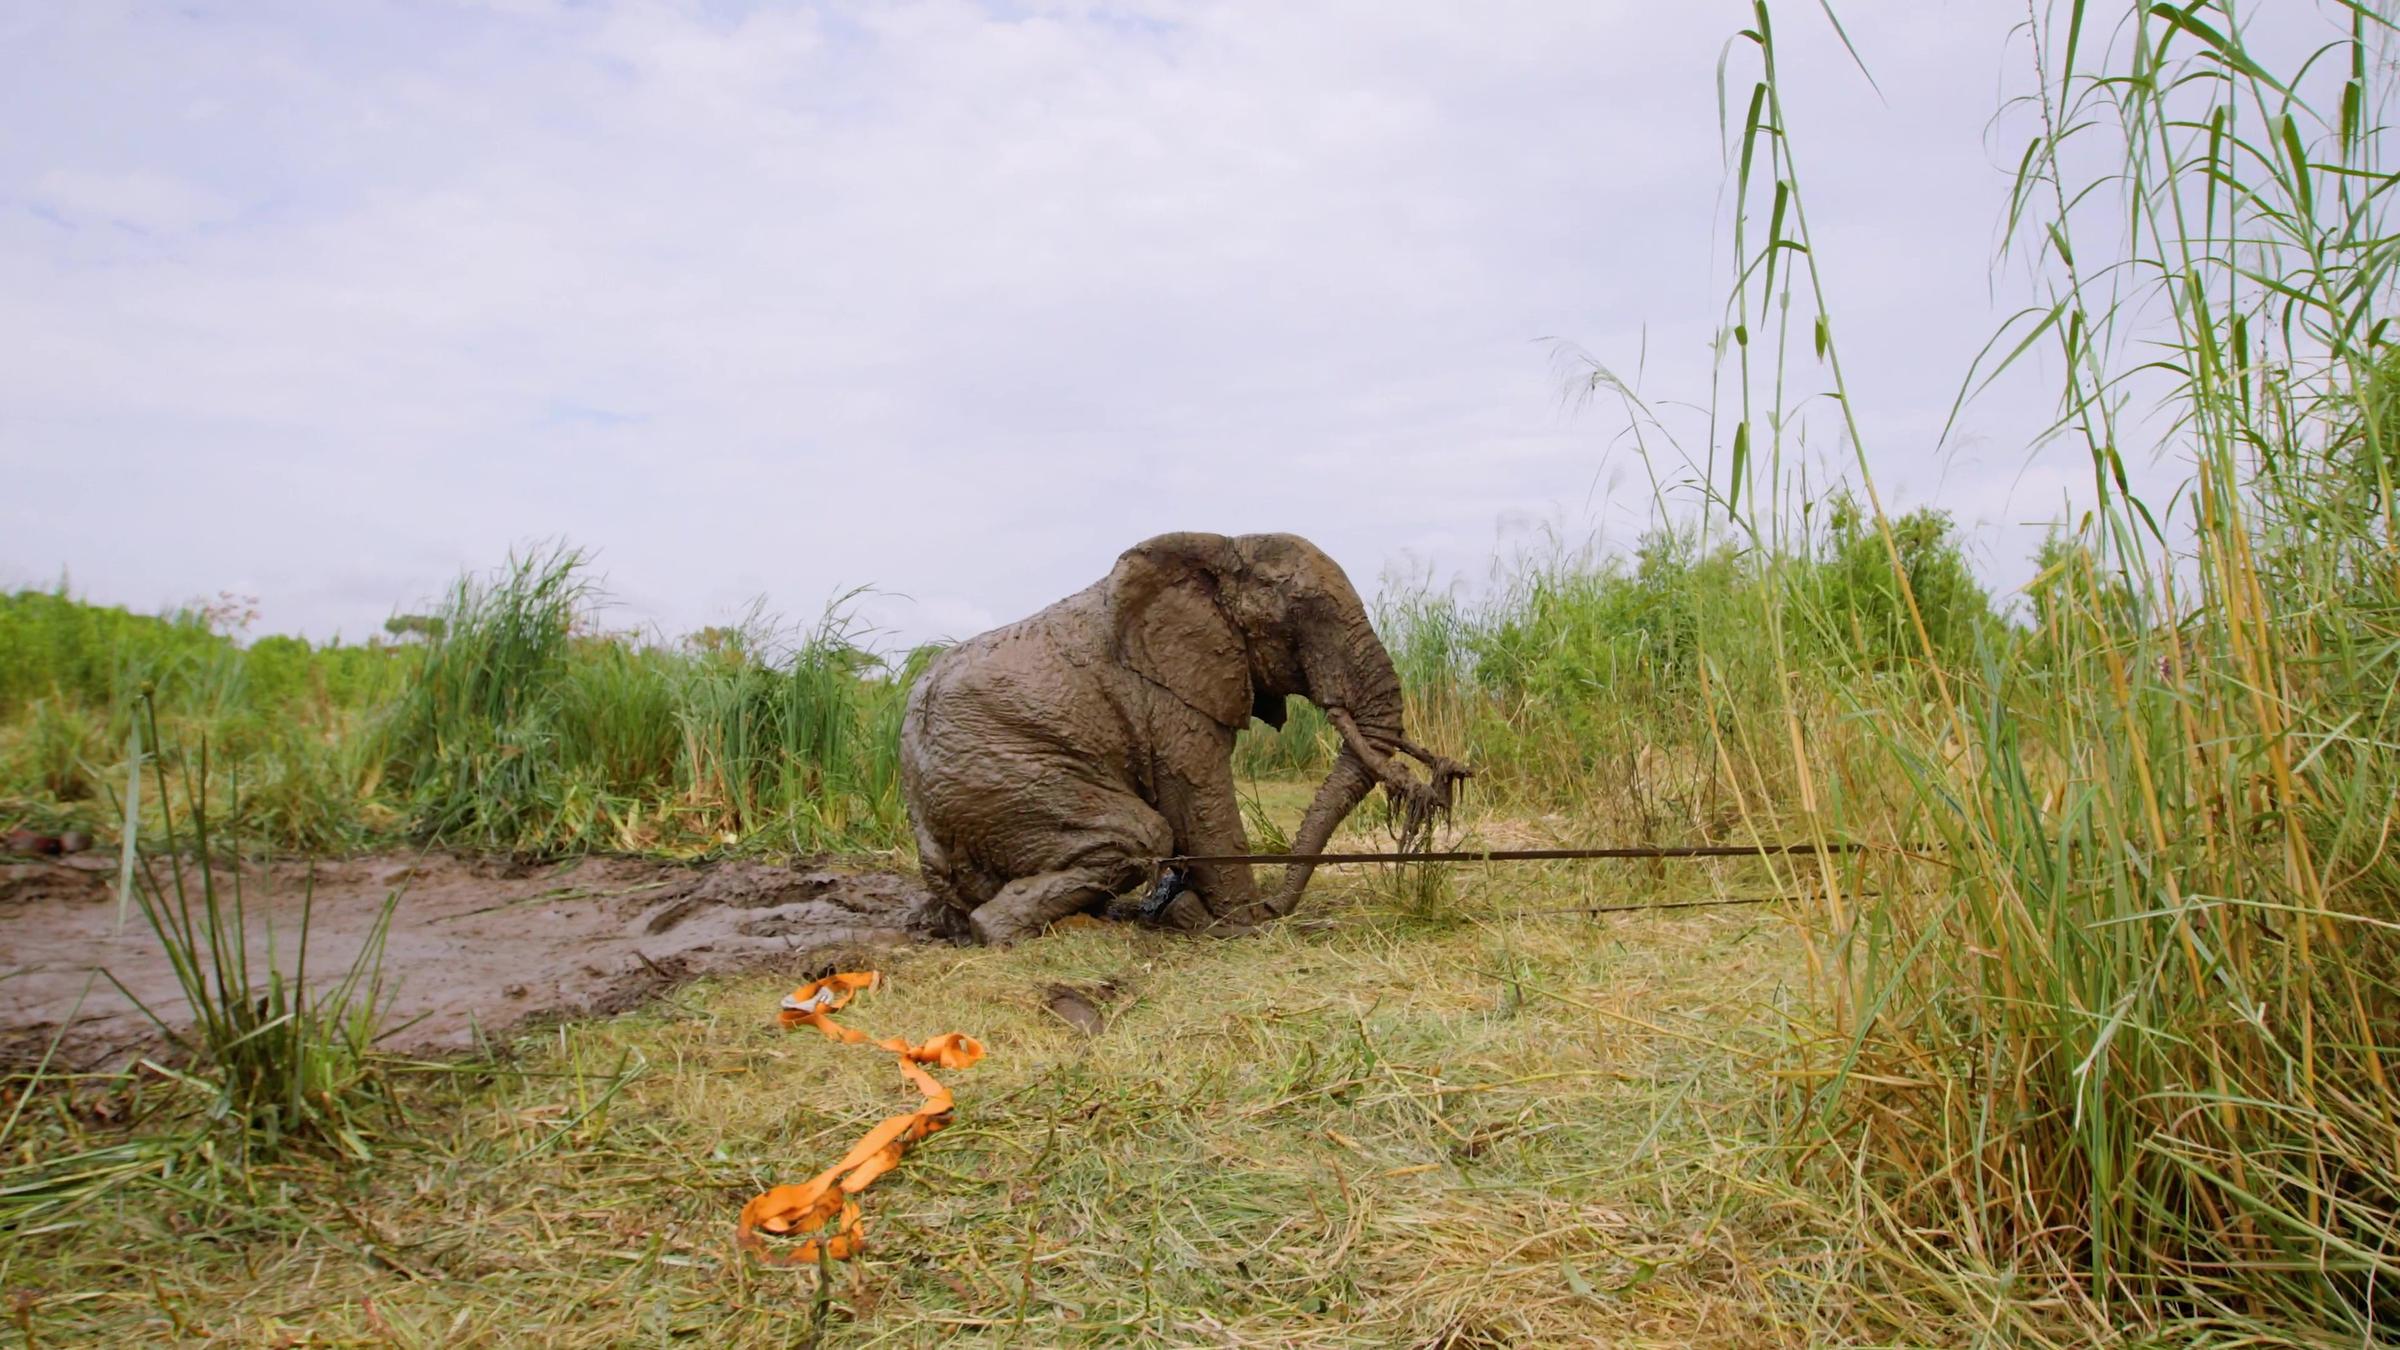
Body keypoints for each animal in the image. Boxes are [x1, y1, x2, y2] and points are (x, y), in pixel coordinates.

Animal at [899, 531, 1471, 946]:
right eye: (1302, 616)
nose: (1443, 773)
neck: (1221, 550)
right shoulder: (1170, 696)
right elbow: (1200, 800)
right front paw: (1240, 923)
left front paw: (1195, 911)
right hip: (1001, 782)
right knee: (1141, 834)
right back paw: (1011, 929)